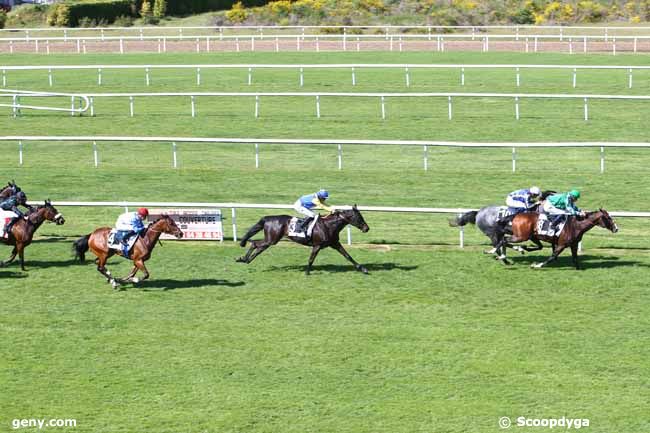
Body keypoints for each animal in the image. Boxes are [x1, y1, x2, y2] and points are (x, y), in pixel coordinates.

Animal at [237, 205, 370, 274]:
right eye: (359, 217)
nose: (367, 228)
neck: (329, 225)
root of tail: (268, 218)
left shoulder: (335, 244)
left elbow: (348, 256)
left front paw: (363, 269)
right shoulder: (317, 245)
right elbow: (311, 259)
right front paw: (307, 272)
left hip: (271, 239)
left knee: (257, 246)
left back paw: (245, 260)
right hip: (272, 239)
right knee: (255, 244)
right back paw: (243, 259)